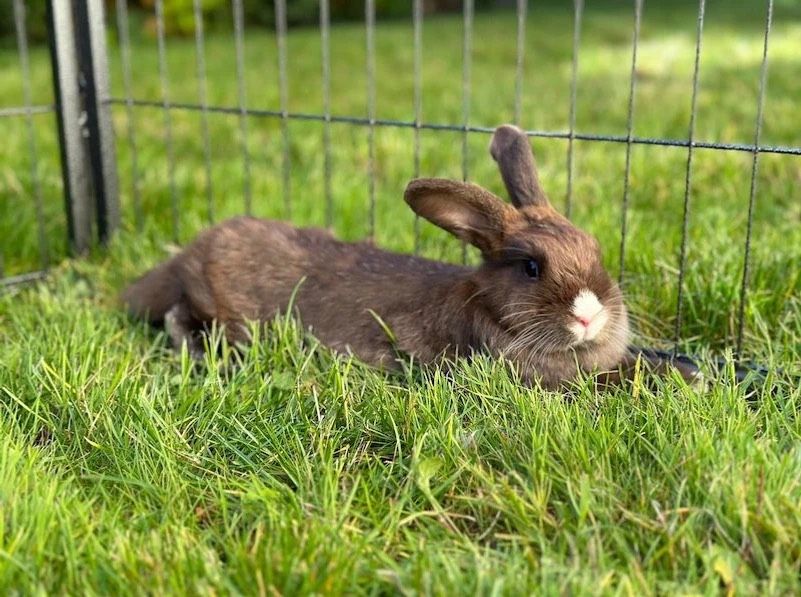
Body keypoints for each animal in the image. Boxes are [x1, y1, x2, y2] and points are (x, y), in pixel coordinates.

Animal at [122, 123, 628, 388]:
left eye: (596, 250)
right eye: (531, 267)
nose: (589, 314)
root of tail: (192, 251)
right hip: (216, 306)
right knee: (177, 316)